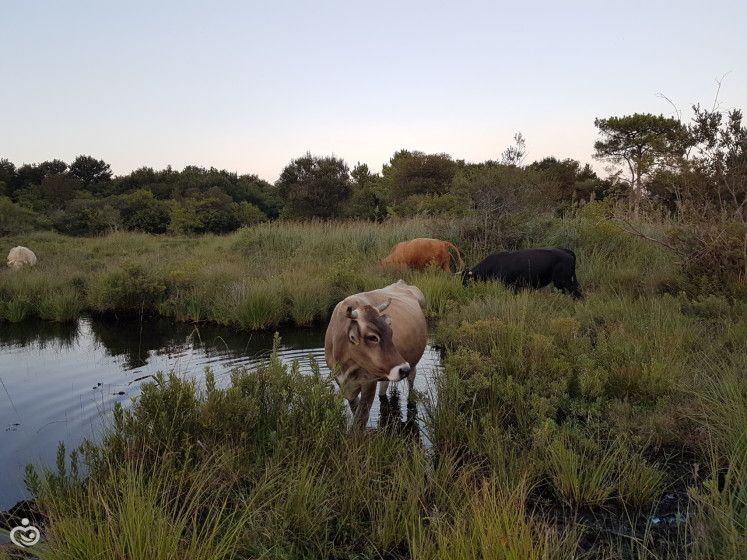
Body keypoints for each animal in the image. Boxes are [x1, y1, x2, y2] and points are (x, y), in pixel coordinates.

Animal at [326, 280, 426, 428]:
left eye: (391, 332)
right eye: (372, 337)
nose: (403, 369)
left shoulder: (369, 382)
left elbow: (360, 420)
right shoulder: (342, 382)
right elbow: (356, 413)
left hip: (413, 364)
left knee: (411, 383)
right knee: (384, 388)